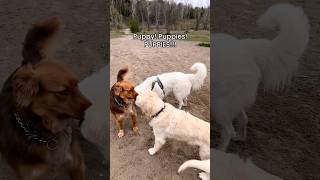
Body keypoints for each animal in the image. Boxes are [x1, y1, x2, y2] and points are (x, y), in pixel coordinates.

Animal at [212, 3, 310, 150]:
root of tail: (246, 48)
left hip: (220, 105)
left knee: (229, 131)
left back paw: (219, 151)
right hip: (228, 101)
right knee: (243, 119)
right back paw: (239, 138)